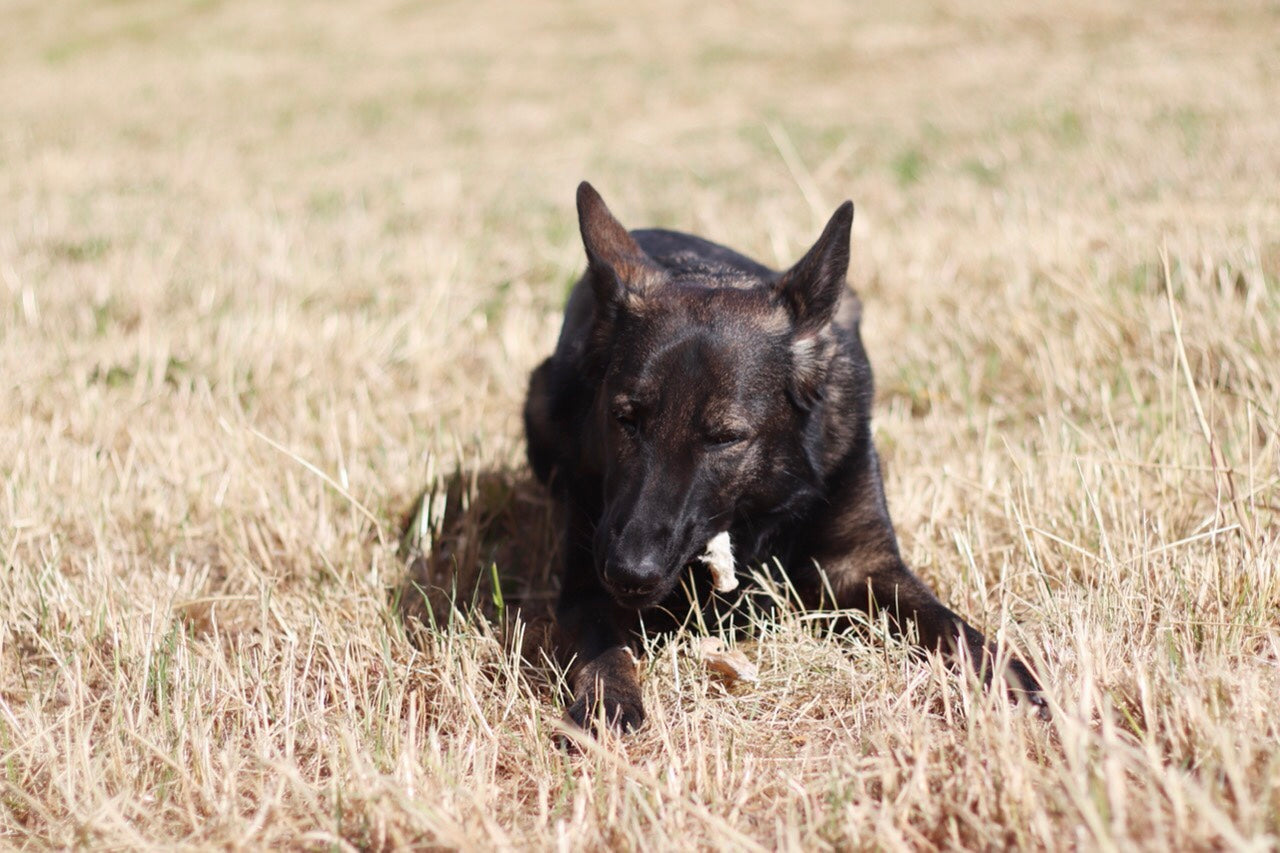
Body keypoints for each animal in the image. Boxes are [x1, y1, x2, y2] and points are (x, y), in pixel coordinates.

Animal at [522, 180, 1049, 732]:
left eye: (725, 437)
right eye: (625, 418)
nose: (630, 572)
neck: (760, 504)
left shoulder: (864, 565)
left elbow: (953, 629)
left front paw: (1018, 681)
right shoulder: (585, 584)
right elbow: (605, 650)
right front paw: (608, 701)